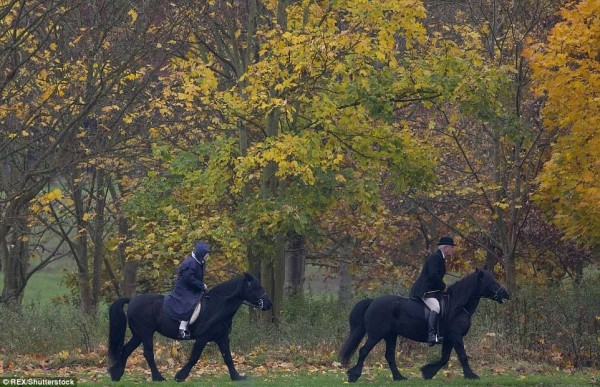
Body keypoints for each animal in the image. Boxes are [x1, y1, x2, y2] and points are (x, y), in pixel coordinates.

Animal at [108, 274, 272, 384]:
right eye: (256, 287)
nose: (269, 304)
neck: (218, 306)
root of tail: (132, 300)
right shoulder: (203, 338)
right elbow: (194, 357)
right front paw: (180, 376)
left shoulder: (222, 338)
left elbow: (228, 358)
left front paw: (237, 377)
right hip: (146, 332)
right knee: (148, 353)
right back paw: (158, 378)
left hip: (138, 334)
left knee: (126, 350)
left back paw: (116, 375)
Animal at [340, 270, 508, 382]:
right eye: (492, 282)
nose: (506, 294)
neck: (458, 305)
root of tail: (373, 301)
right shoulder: (456, 336)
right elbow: (462, 356)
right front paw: (471, 376)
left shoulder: (449, 338)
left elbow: (445, 358)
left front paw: (427, 372)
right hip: (376, 335)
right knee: (363, 351)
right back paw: (353, 375)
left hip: (391, 335)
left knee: (389, 356)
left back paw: (399, 377)